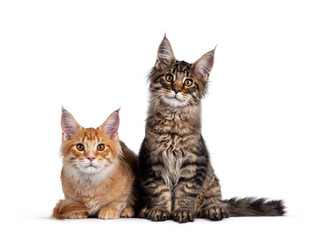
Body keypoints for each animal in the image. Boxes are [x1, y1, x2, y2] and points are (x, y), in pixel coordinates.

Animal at [138, 36, 284, 223]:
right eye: (169, 77)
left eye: (188, 82)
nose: (176, 90)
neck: (173, 122)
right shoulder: (152, 163)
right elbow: (159, 191)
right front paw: (160, 210)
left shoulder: (195, 164)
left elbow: (185, 192)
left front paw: (182, 211)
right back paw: (145, 210)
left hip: (212, 181)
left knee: (213, 201)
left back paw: (214, 210)